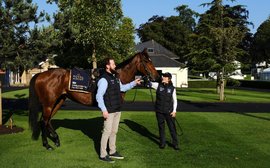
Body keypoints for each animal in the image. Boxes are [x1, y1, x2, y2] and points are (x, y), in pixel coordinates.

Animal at [29, 49, 160, 150]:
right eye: (146, 61)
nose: (157, 76)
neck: (116, 77)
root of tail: (40, 75)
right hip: (48, 104)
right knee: (43, 121)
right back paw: (47, 145)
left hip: (58, 101)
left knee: (48, 120)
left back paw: (56, 139)